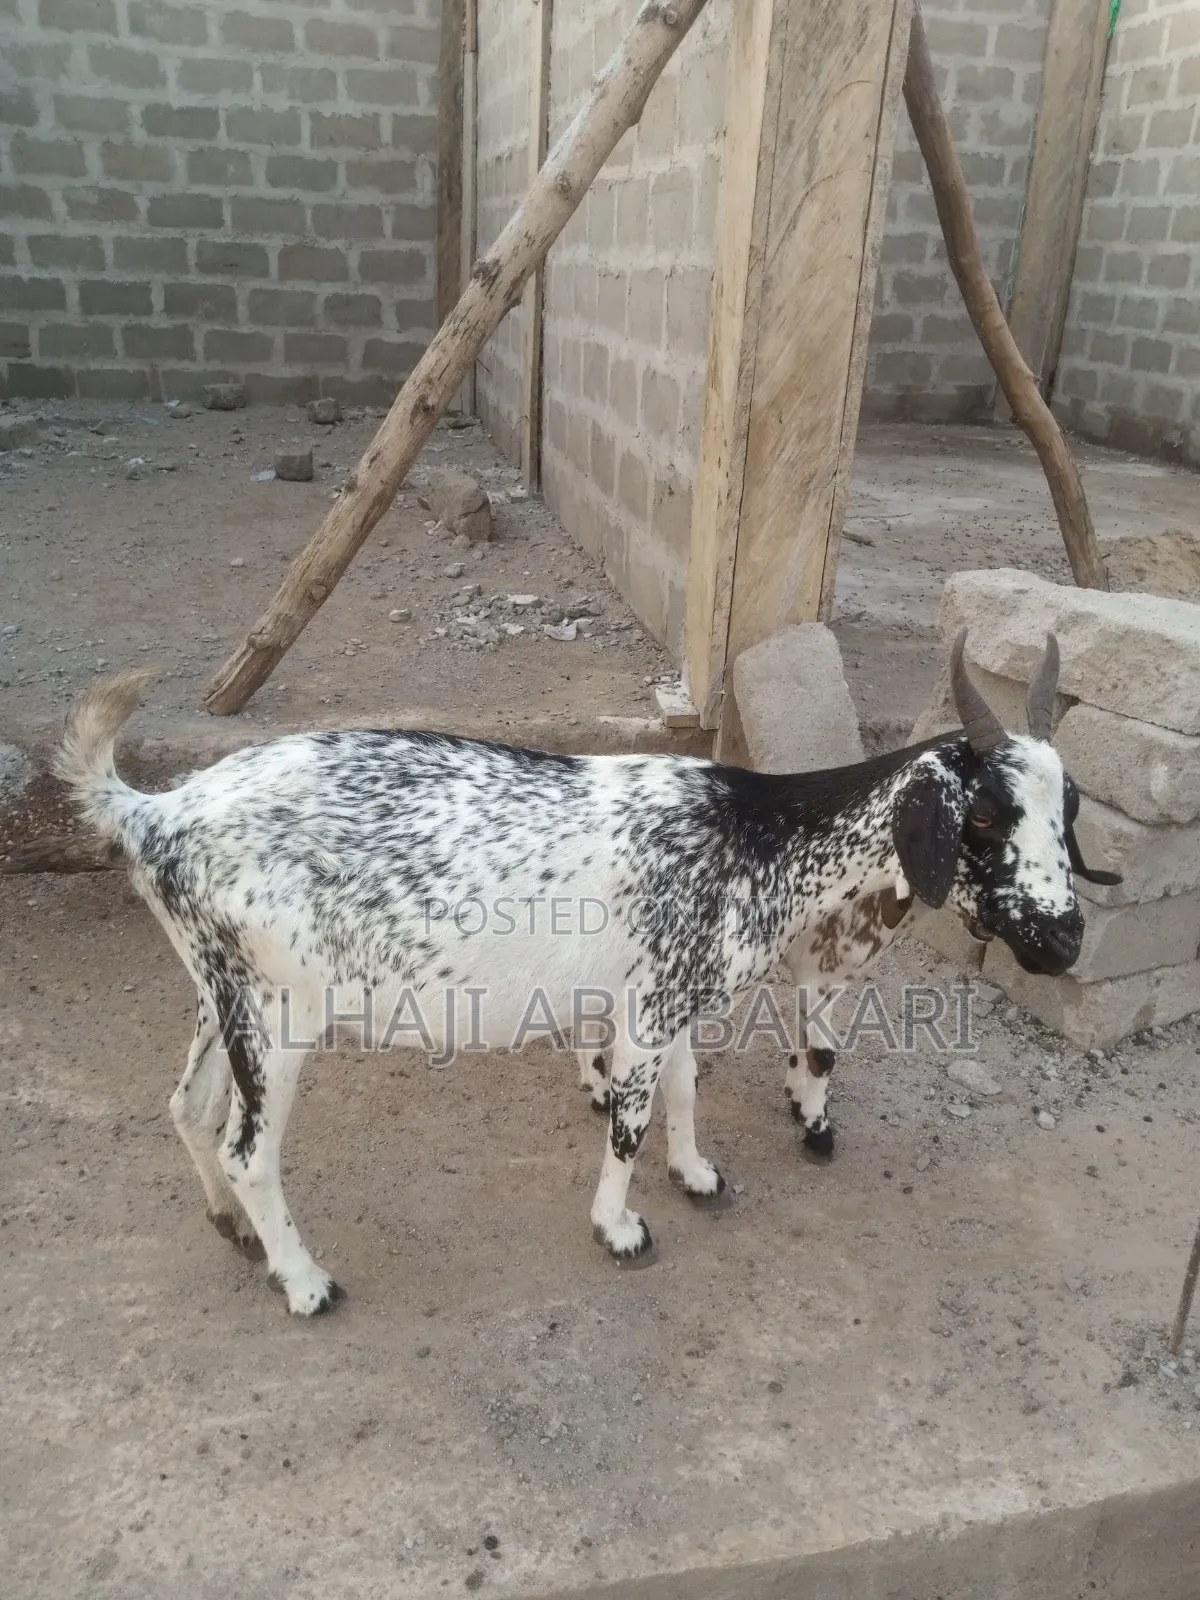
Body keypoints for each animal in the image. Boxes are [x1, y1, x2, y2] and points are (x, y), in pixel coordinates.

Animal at [57, 632, 1116, 1315]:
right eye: (984, 817)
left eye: (1068, 813)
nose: (1063, 940)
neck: (756, 836)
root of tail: (152, 812)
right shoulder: (645, 1016)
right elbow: (629, 1123)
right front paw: (620, 1228)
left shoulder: (672, 999)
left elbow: (685, 1093)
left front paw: (698, 1174)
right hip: (279, 1017)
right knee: (247, 1148)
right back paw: (305, 1281)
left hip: (219, 991)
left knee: (186, 1106)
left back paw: (229, 1227)